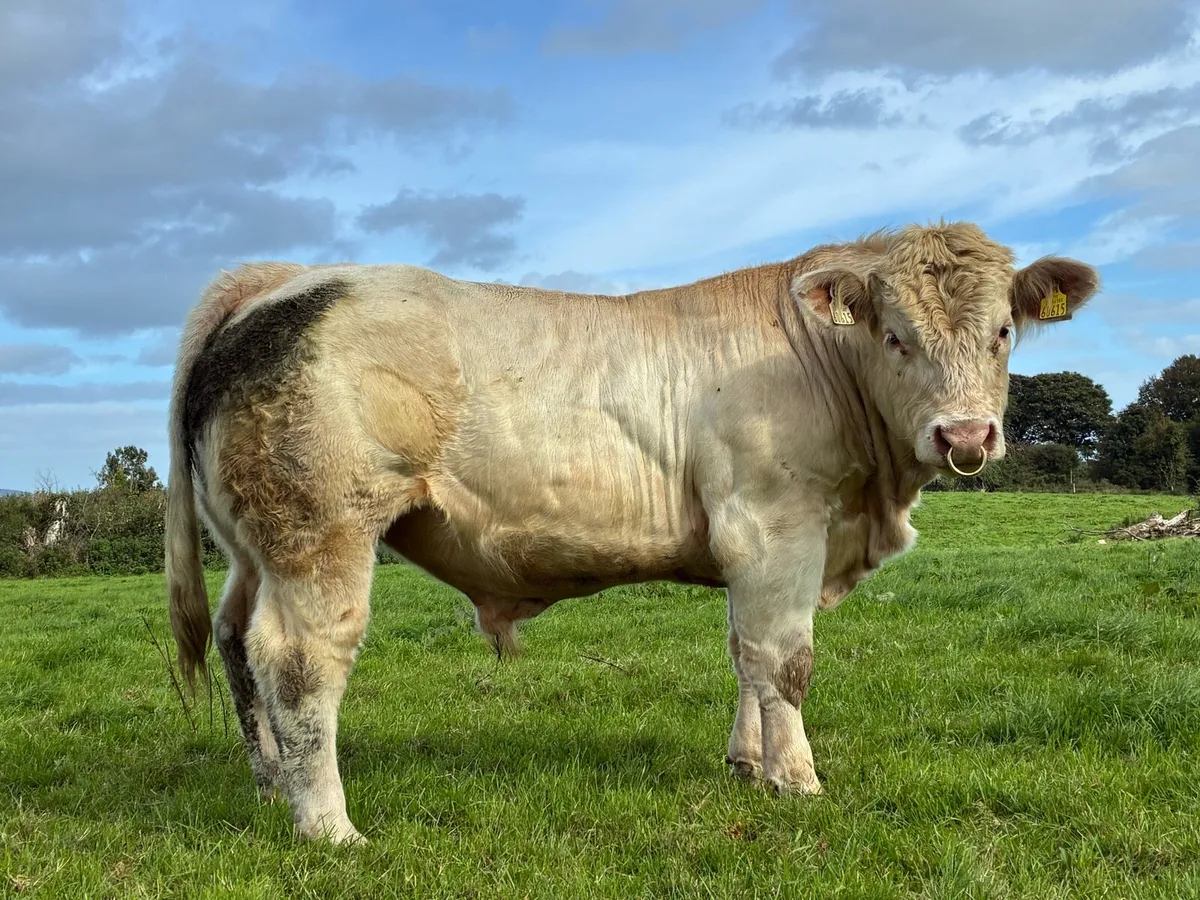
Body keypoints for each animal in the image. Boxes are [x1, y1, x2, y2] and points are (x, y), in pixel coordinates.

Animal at [164, 221, 1100, 844]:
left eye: (1004, 331)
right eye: (895, 336)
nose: (966, 436)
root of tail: (279, 279)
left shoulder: (749, 546)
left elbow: (744, 655)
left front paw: (746, 763)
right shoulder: (776, 524)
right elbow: (785, 661)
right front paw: (796, 779)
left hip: (251, 544)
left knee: (236, 641)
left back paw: (268, 786)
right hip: (321, 532)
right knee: (299, 660)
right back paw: (327, 826)